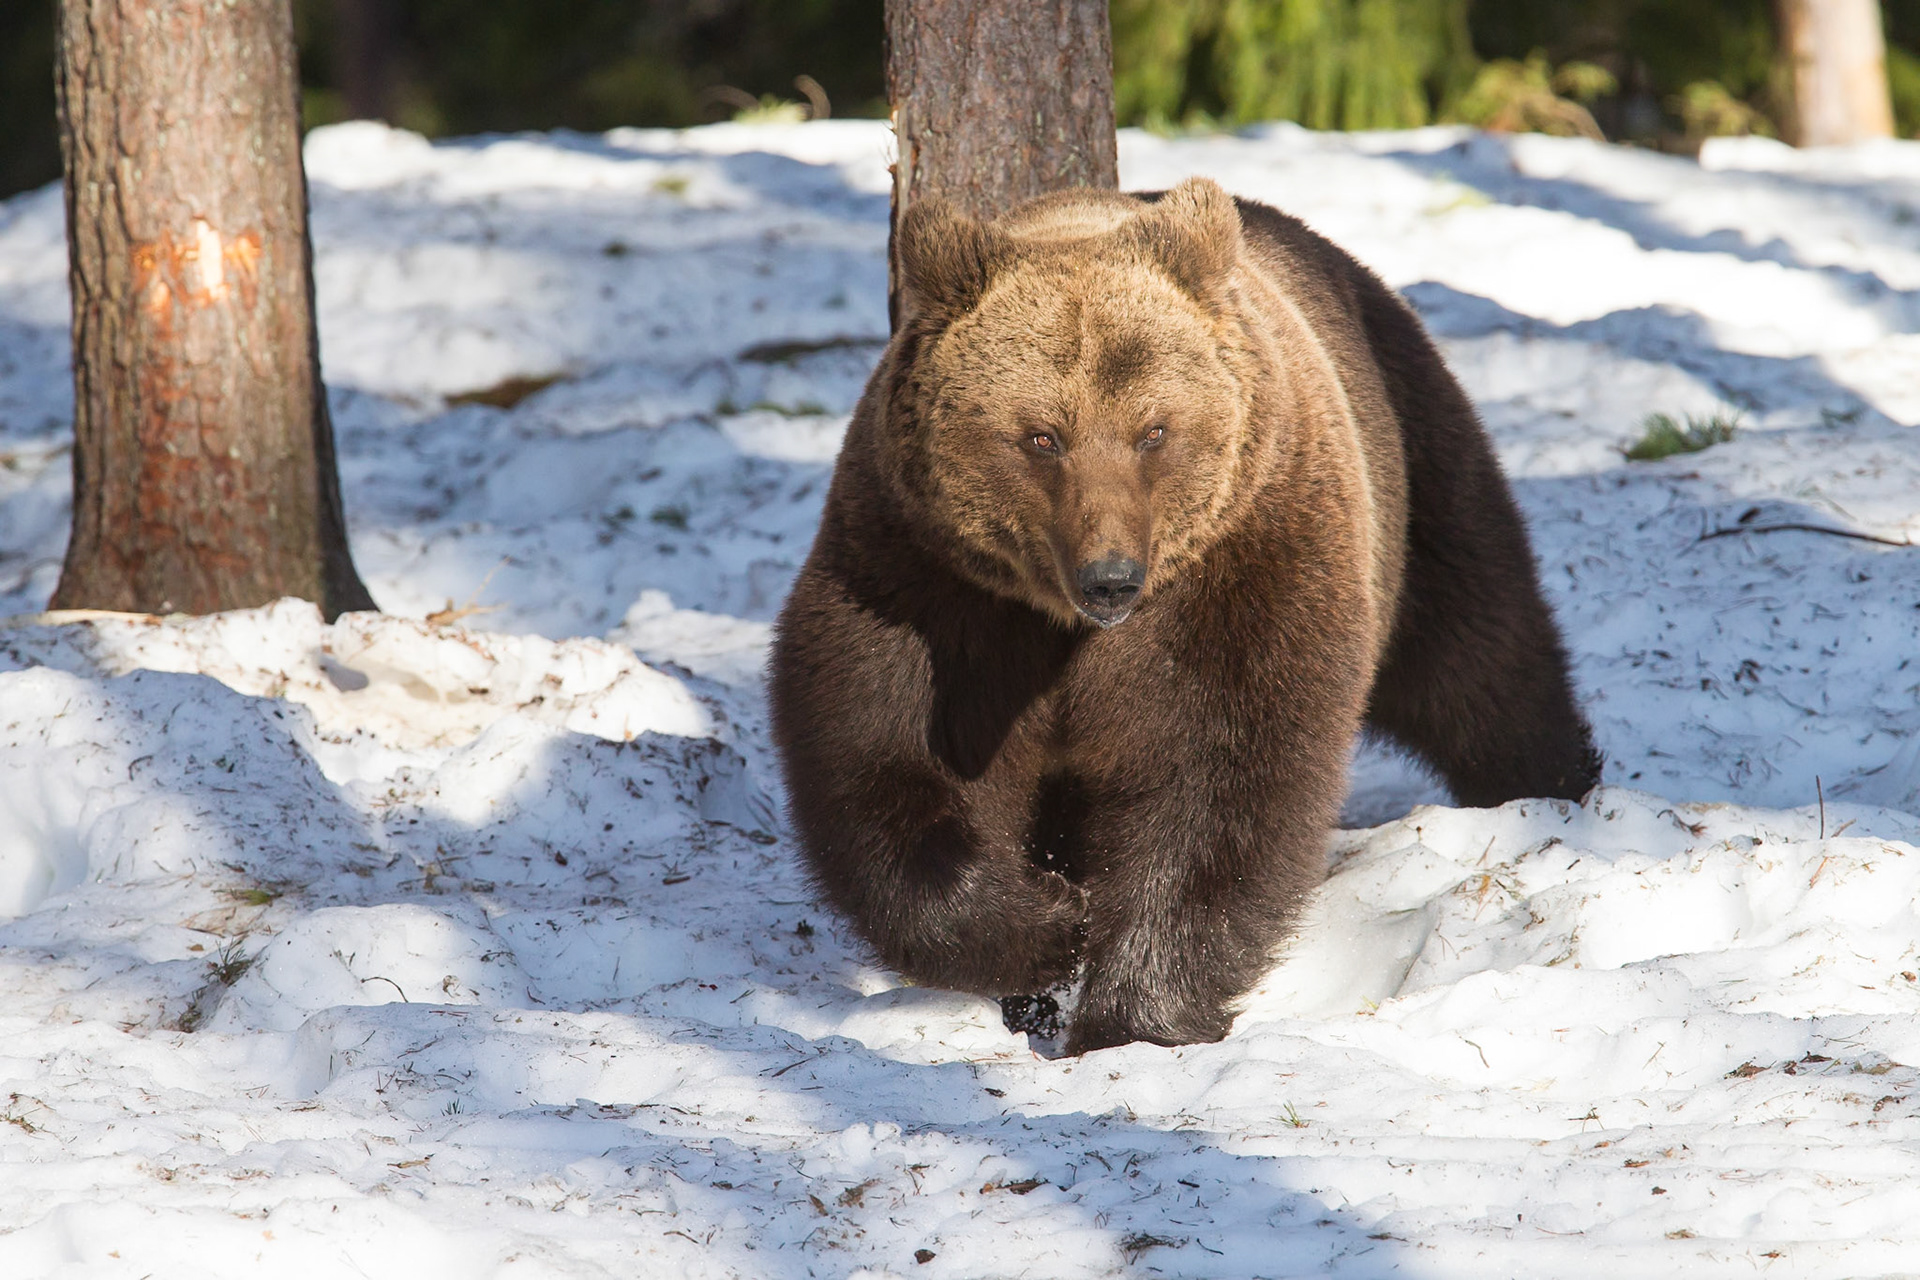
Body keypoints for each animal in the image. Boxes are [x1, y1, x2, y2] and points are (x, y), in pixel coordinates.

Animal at [768, 177, 1600, 1054]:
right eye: (1041, 436)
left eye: (1154, 430)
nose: (1110, 578)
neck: (1064, 630)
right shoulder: (929, 586)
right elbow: (885, 763)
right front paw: (1050, 930)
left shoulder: (1238, 577)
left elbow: (1218, 780)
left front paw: (1132, 1016)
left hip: (1412, 471)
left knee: (1481, 654)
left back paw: (1554, 790)